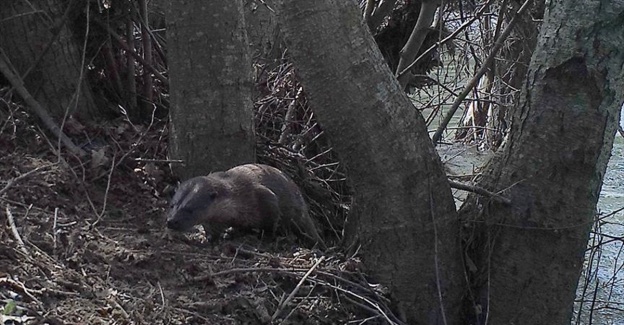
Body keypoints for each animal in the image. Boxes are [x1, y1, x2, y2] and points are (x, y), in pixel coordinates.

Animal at [166, 163, 324, 247]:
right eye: (173, 205)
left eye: (190, 209)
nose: (171, 221)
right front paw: (209, 238)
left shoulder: (266, 198)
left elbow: (271, 223)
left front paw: (266, 238)